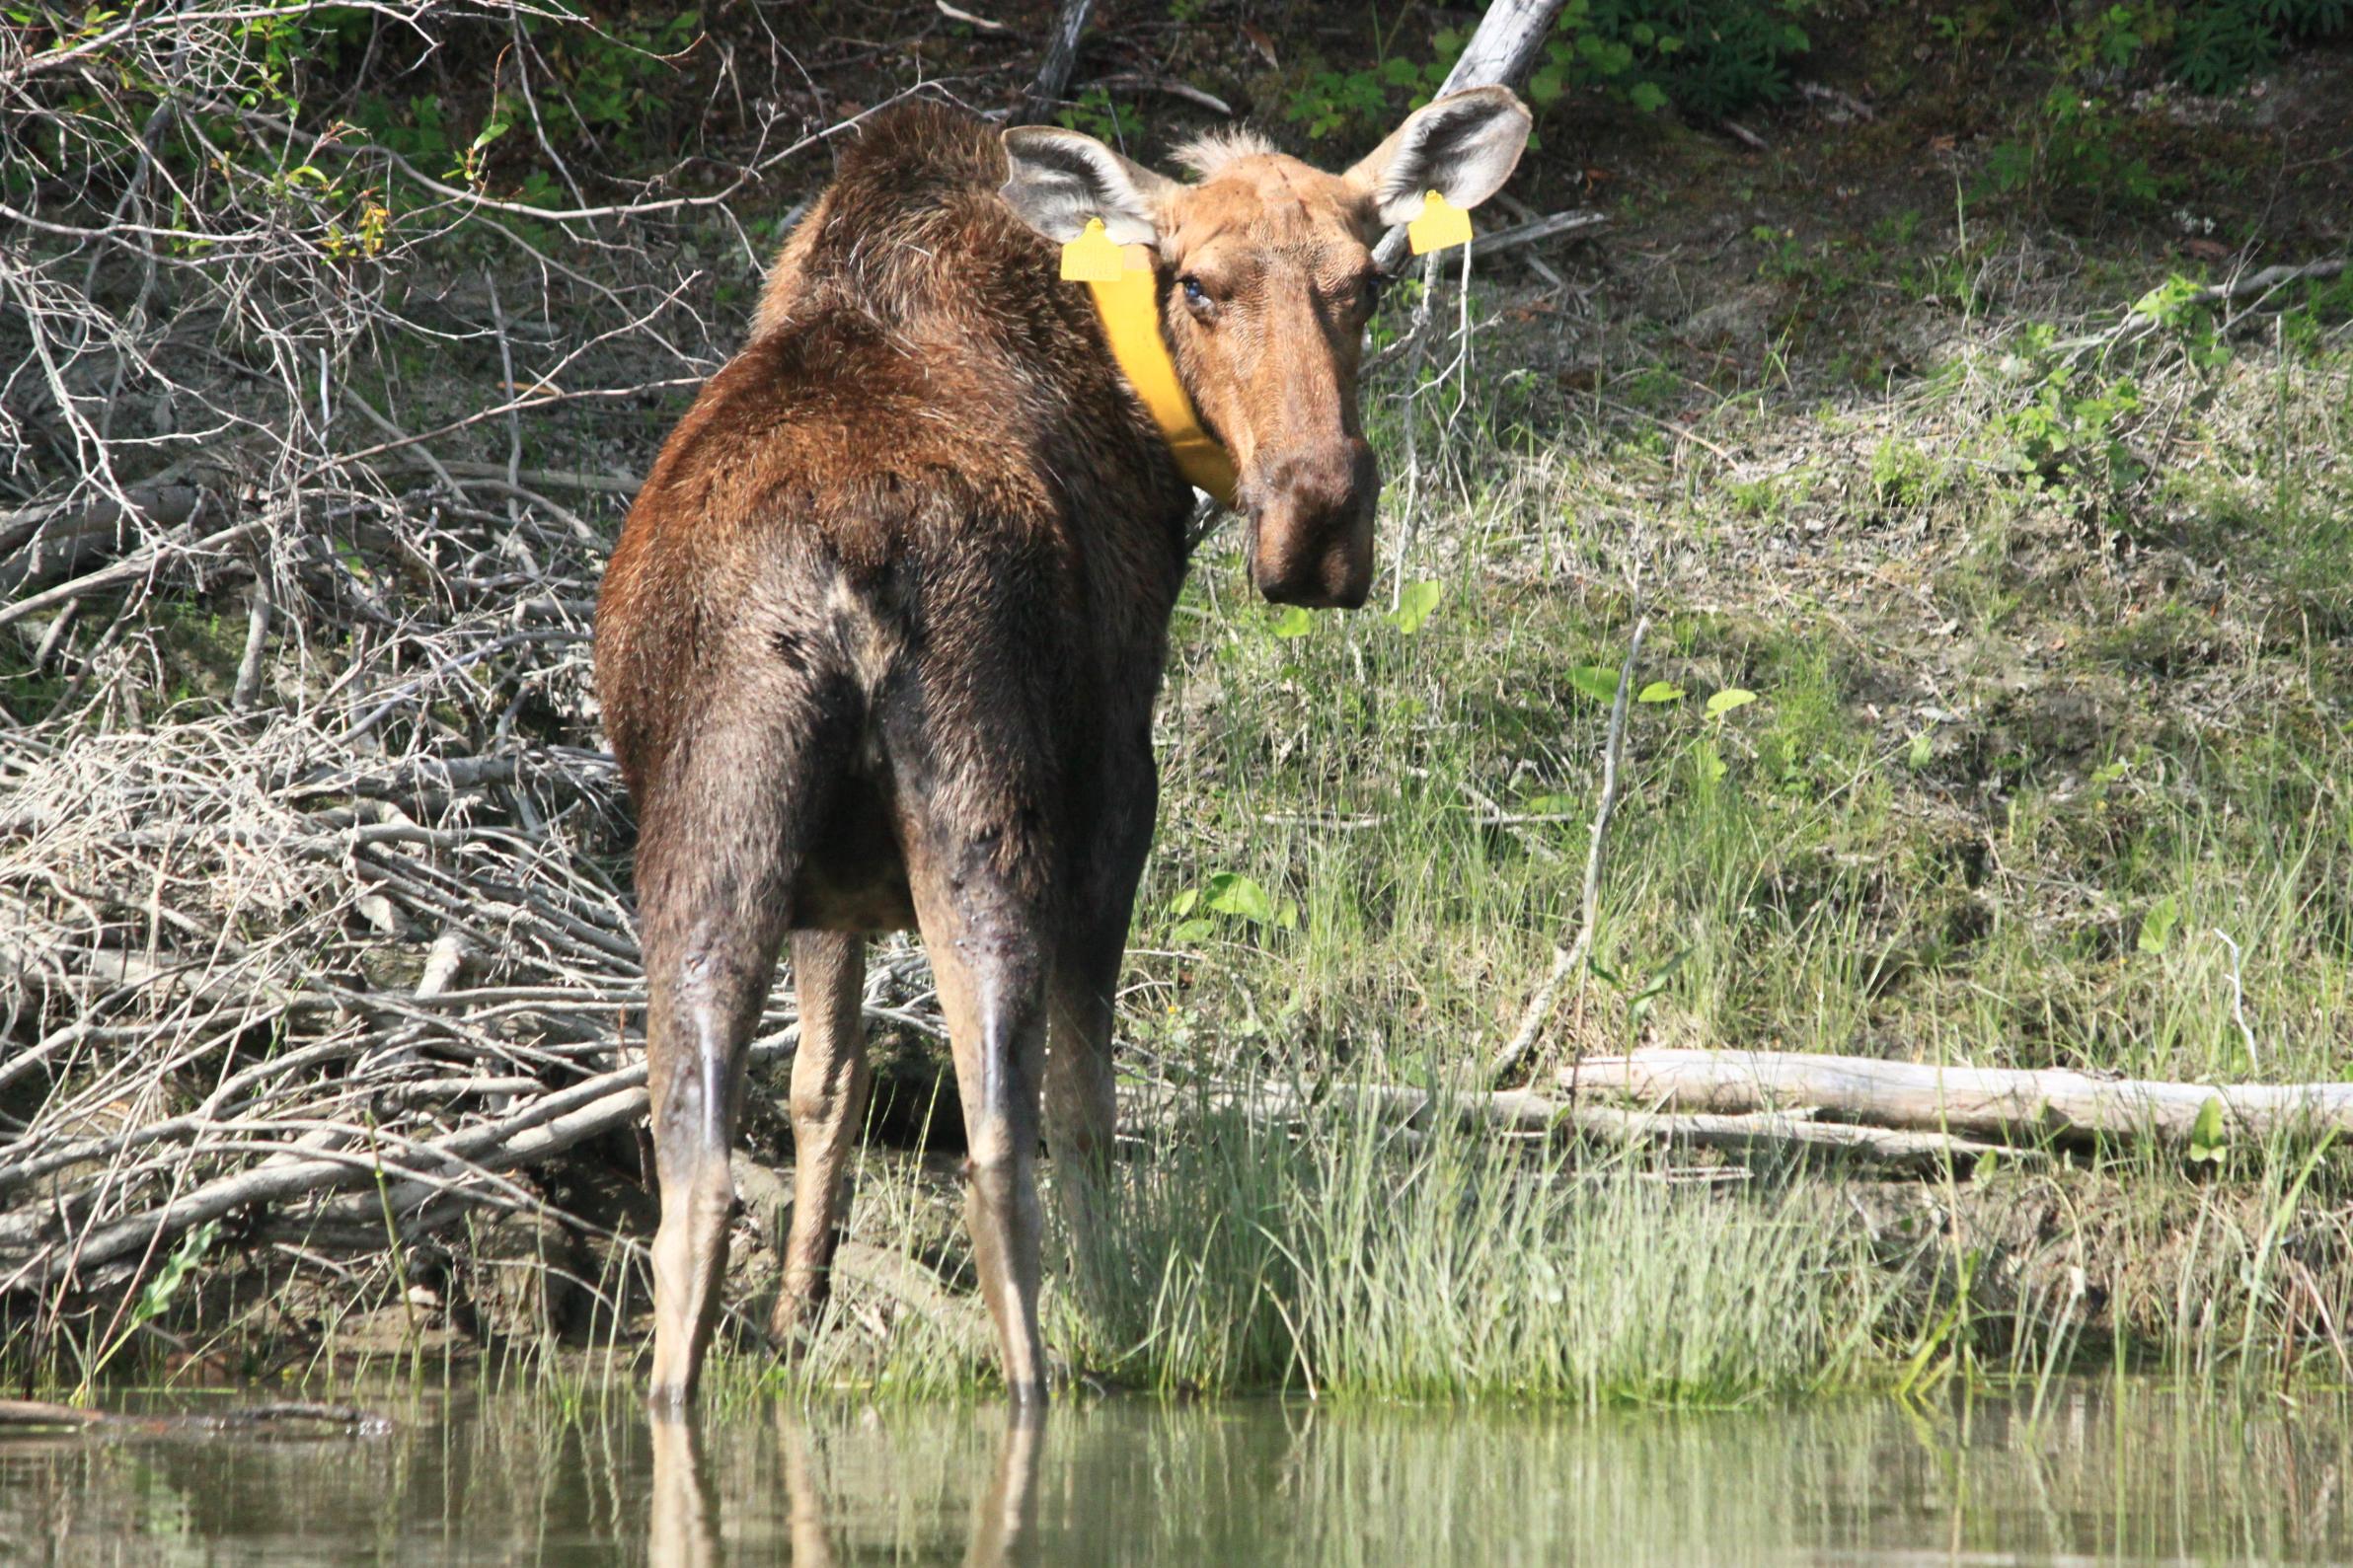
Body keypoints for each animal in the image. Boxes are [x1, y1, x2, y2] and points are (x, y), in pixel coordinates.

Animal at [593, 87, 1531, 1409]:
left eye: (1366, 282)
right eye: (1199, 285)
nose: (1317, 517)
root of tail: (850, 557)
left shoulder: (826, 885)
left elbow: (825, 1079)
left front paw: (796, 1312)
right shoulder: (1119, 779)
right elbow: (1088, 1100)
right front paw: (1120, 1295)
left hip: (714, 836)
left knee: (699, 1163)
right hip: (996, 811)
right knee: (998, 1142)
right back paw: (1064, 1370)